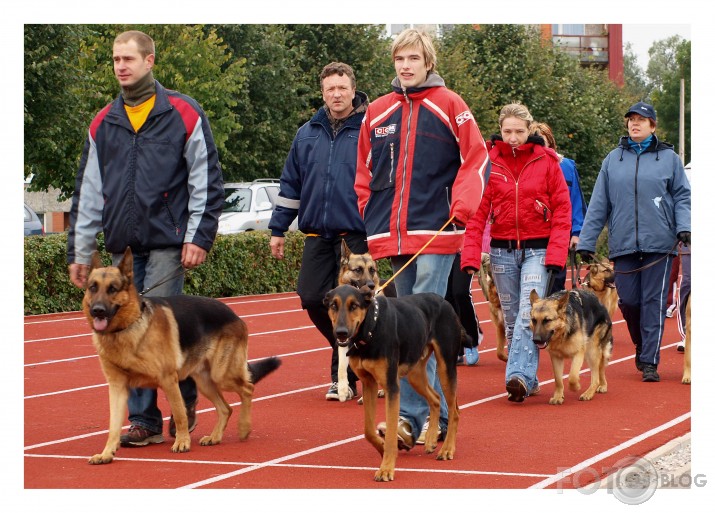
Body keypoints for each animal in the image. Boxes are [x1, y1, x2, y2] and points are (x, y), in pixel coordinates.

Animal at [84, 248, 282, 464]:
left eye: (113, 289)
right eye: (93, 287)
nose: (97, 311)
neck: (126, 328)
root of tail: (233, 314)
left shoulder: (168, 380)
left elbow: (180, 415)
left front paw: (182, 442)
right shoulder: (117, 387)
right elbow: (113, 426)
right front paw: (106, 453)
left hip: (222, 375)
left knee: (248, 388)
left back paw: (244, 427)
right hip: (205, 382)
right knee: (226, 408)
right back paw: (215, 437)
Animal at [324, 284, 464, 480]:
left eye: (354, 306)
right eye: (333, 306)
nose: (341, 332)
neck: (371, 328)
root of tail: (444, 301)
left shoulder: (391, 386)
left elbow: (390, 433)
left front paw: (387, 468)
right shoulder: (369, 383)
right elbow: (368, 430)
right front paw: (381, 449)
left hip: (446, 367)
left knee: (454, 411)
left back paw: (447, 449)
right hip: (415, 373)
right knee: (435, 398)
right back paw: (430, 439)